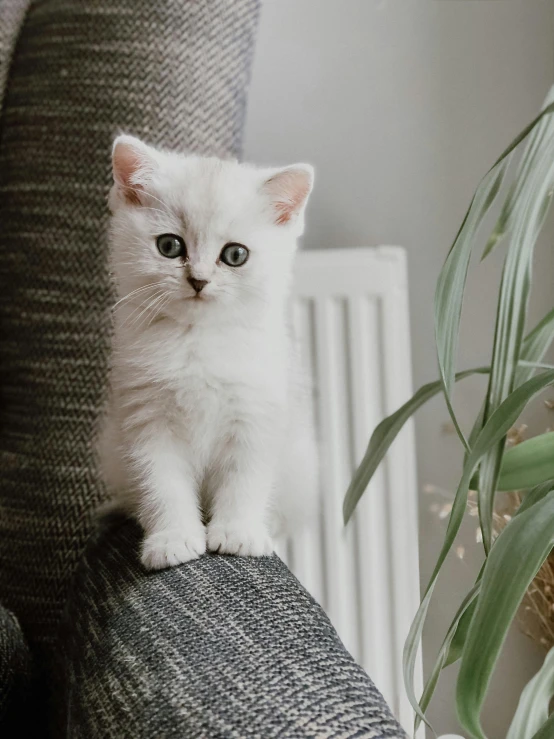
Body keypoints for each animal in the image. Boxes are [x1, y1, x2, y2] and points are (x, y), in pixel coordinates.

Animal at [97, 134, 316, 572]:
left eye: (235, 255)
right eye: (169, 246)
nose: (198, 280)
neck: (197, 340)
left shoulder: (256, 414)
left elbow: (245, 479)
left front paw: (237, 533)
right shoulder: (146, 419)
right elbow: (161, 483)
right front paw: (173, 540)